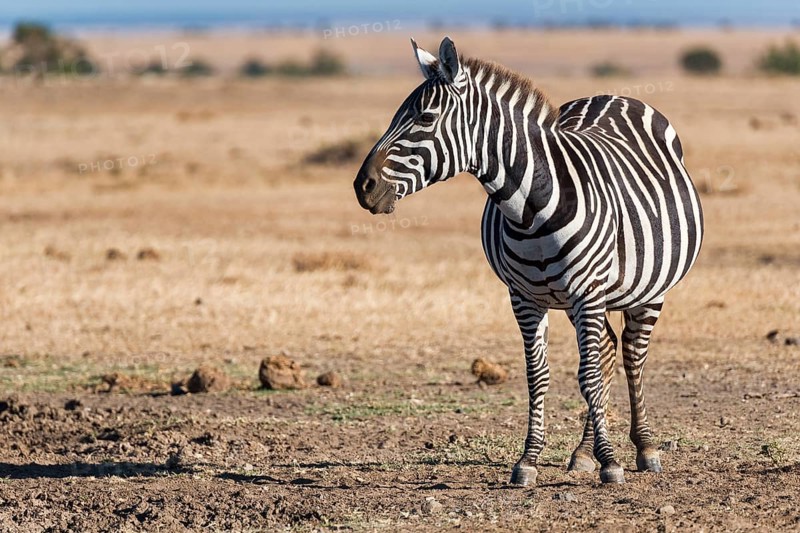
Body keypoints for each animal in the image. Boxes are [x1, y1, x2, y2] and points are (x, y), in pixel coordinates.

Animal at [353, 37, 703, 485]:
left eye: (426, 118)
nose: (363, 186)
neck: (531, 209)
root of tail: (614, 95)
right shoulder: (524, 298)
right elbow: (538, 375)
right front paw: (530, 460)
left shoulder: (587, 293)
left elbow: (588, 375)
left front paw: (611, 462)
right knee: (608, 350)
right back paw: (583, 452)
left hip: (648, 290)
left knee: (630, 354)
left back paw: (644, 447)